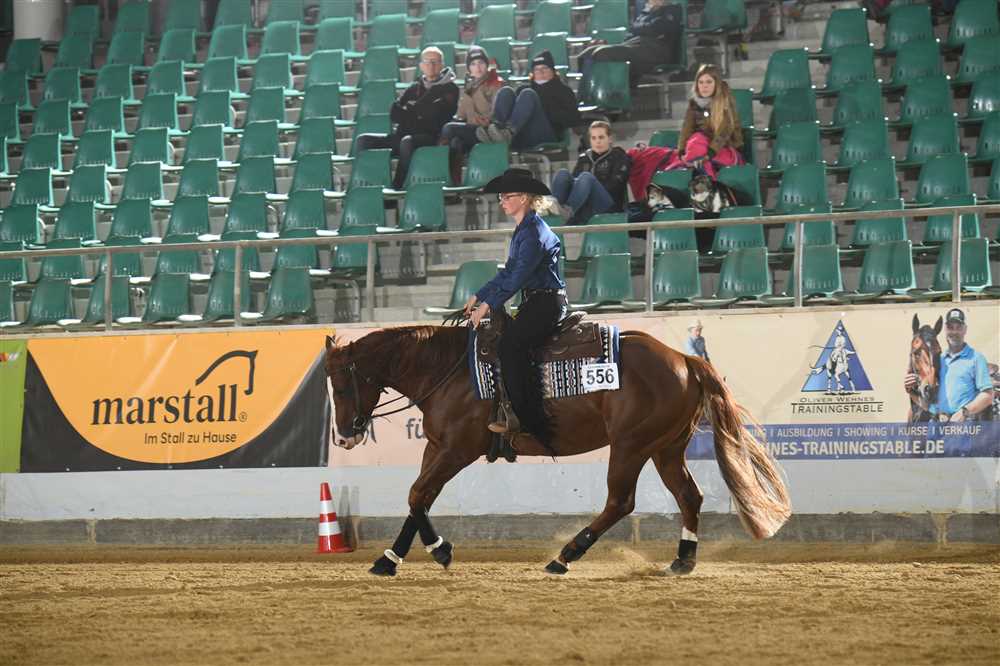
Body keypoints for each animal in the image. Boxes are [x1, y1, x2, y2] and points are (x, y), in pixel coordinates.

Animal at [324, 324, 791, 577]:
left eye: (342, 386)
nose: (345, 437)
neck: (448, 371)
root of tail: (684, 359)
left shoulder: (457, 449)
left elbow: (418, 494)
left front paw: (440, 550)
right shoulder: (437, 447)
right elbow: (419, 497)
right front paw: (390, 559)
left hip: (631, 445)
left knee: (621, 501)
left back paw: (565, 557)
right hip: (665, 447)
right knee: (688, 496)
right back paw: (682, 560)